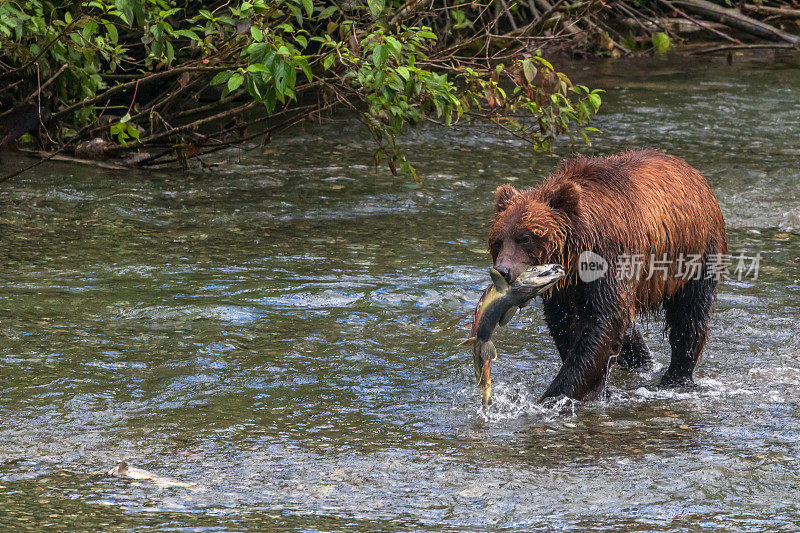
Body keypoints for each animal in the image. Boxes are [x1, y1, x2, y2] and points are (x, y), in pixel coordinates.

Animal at [490, 149, 728, 400]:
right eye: (497, 241)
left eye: (525, 238)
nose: (503, 271)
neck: (579, 252)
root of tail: (695, 174)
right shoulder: (566, 287)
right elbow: (565, 323)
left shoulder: (613, 254)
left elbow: (605, 320)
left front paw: (556, 395)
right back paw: (643, 363)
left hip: (696, 253)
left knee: (690, 316)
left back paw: (676, 378)